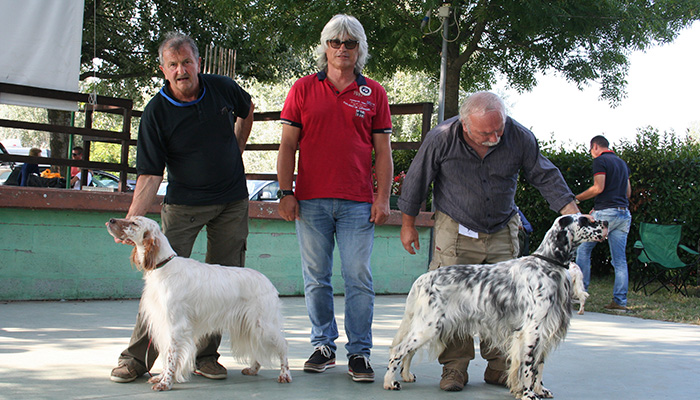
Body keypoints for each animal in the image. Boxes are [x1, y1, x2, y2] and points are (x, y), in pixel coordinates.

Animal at [105, 216, 292, 390]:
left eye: (134, 223)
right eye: (130, 218)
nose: (111, 220)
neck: (163, 266)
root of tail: (268, 282)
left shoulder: (176, 326)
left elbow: (171, 357)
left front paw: (166, 383)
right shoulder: (164, 324)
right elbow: (166, 356)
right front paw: (161, 378)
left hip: (264, 325)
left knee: (283, 345)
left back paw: (284, 374)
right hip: (250, 326)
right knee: (257, 347)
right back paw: (253, 369)